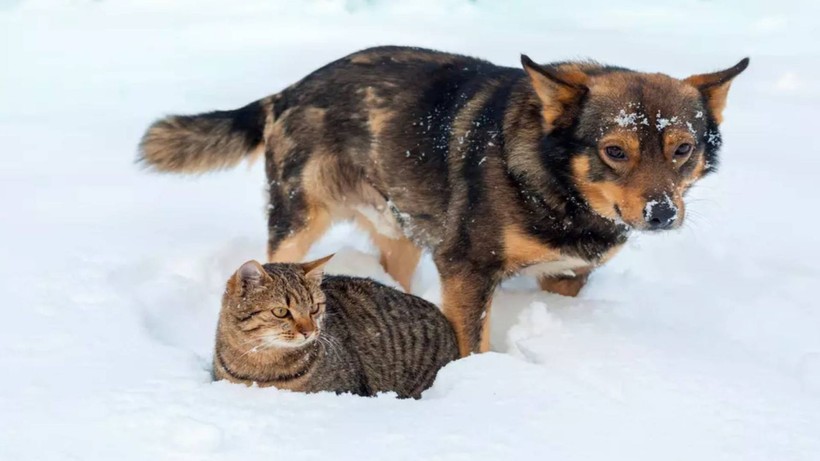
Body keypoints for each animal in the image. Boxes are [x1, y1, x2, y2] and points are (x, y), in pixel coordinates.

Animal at [138, 46, 748, 356]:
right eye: (615, 151)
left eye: (683, 149)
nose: (661, 214)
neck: (556, 189)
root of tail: (288, 91)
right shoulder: (466, 268)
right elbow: (472, 341)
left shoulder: (567, 277)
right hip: (298, 218)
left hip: (402, 228)